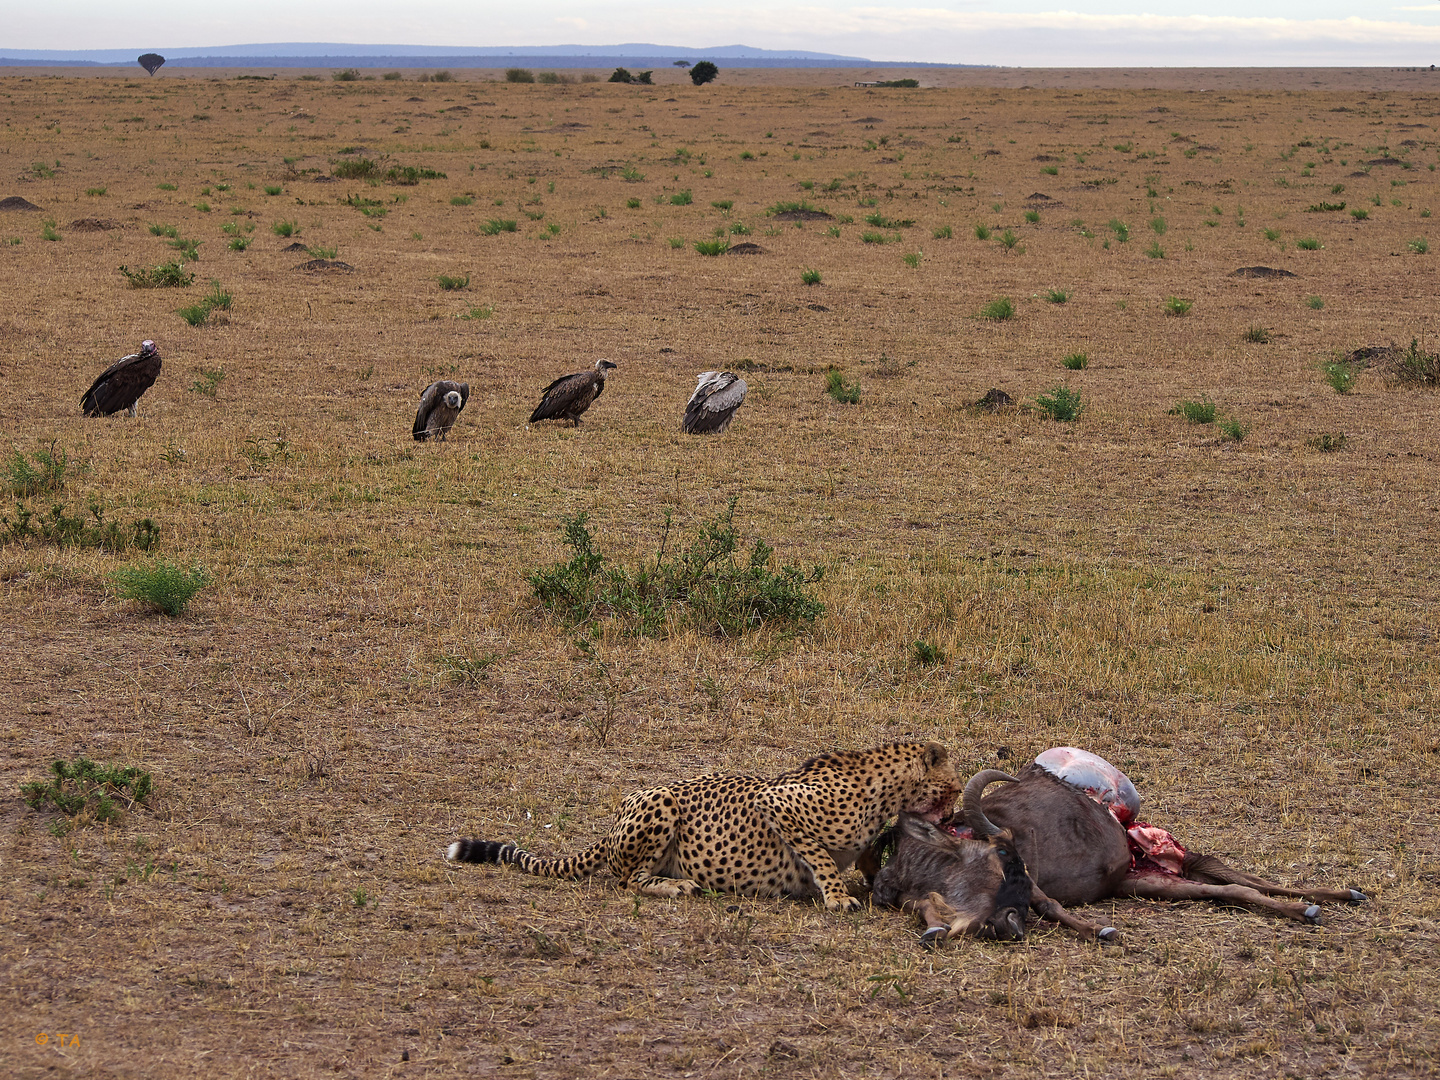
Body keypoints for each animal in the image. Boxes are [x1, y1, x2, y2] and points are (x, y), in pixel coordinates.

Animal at [443, 743, 950, 910]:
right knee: (626, 880)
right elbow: (821, 857)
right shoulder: (777, 803)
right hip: (662, 803)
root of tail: (614, 819)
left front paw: (870, 876)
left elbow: (865, 851)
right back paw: (678, 886)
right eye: (951, 783)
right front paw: (838, 897)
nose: (952, 813)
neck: (883, 790)